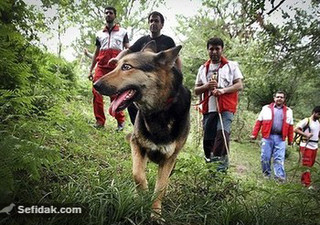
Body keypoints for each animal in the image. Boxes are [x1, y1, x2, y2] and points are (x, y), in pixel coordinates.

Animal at [94, 40, 191, 218]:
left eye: (127, 67)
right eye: (116, 65)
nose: (95, 85)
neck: (159, 110)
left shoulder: (169, 158)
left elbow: (161, 187)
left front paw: (156, 213)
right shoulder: (137, 144)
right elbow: (138, 175)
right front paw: (142, 195)